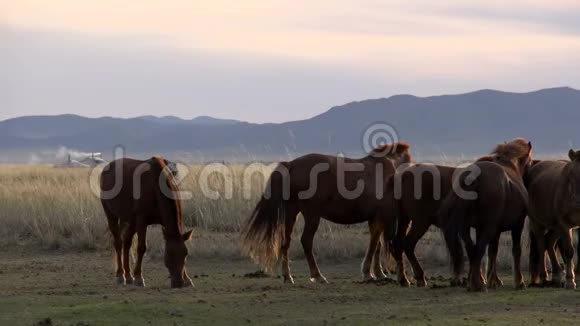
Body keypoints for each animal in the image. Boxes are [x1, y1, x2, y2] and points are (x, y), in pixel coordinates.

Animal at [102, 157, 195, 288]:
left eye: (185, 254)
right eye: (169, 254)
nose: (178, 283)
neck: (155, 186)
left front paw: (187, 279)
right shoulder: (142, 221)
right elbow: (141, 248)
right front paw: (139, 277)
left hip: (130, 220)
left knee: (126, 242)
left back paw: (128, 275)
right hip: (112, 216)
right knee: (119, 243)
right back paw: (121, 275)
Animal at [242, 142, 410, 282]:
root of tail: (291, 165)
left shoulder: (375, 218)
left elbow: (377, 245)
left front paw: (379, 273)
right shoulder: (379, 217)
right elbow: (374, 243)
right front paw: (368, 273)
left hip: (292, 213)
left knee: (285, 241)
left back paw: (288, 277)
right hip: (312, 216)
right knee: (306, 241)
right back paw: (317, 275)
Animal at [442, 138, 532, 290]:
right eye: (530, 161)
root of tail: (474, 177)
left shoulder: (485, 229)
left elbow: (492, 251)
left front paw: (492, 280)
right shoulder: (517, 225)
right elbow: (515, 251)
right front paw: (518, 282)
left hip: (465, 228)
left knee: (472, 250)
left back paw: (473, 283)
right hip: (489, 227)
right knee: (478, 250)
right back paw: (477, 285)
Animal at [528, 149, 580, 290]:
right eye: (571, 174)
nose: (577, 200)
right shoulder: (564, 225)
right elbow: (569, 251)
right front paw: (570, 281)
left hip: (556, 227)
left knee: (549, 243)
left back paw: (556, 276)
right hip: (538, 223)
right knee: (541, 245)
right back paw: (544, 277)